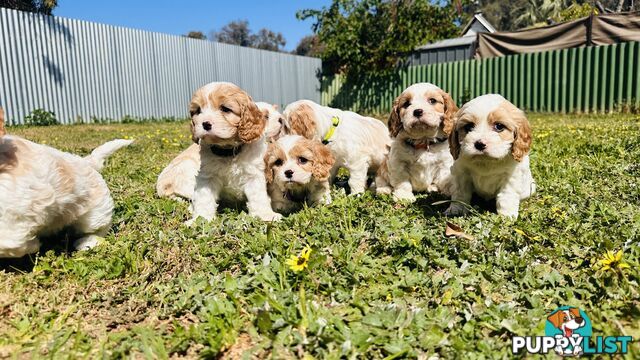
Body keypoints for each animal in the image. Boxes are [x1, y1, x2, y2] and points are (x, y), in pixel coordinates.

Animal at [0, 105, 132, 258]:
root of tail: (86, 161)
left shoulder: (21, 203)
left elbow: (8, 240)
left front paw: (32, 245)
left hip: (95, 214)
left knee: (101, 228)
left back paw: (88, 241)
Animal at [189, 82, 282, 222]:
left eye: (225, 109)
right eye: (198, 111)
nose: (205, 124)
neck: (228, 151)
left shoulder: (253, 174)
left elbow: (258, 197)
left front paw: (265, 215)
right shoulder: (207, 176)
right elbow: (204, 197)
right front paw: (200, 218)